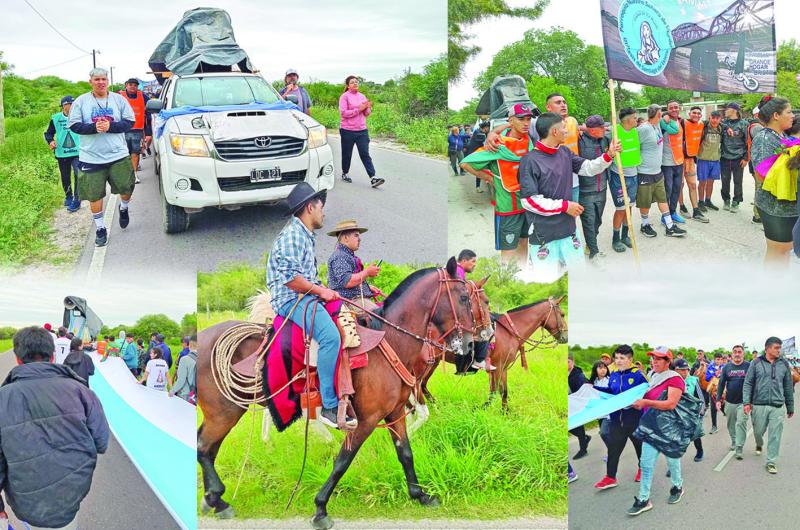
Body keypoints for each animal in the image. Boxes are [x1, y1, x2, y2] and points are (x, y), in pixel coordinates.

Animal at [198, 256, 476, 528]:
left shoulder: (394, 412)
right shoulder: (366, 420)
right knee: (203, 446)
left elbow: (405, 453)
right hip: (224, 412)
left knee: (209, 447)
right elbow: (343, 460)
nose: (472, 344)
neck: (390, 342)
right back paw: (218, 500)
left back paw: (213, 498)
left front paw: (421, 495)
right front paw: (321, 508)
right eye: (464, 297)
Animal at [418, 294, 568, 410]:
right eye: (562, 314)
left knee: (422, 385)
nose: (565, 338)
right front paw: (484, 410)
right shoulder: (498, 368)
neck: (509, 331)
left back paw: (435, 406)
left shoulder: (502, 368)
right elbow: (496, 392)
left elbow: (502, 391)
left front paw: (504, 413)